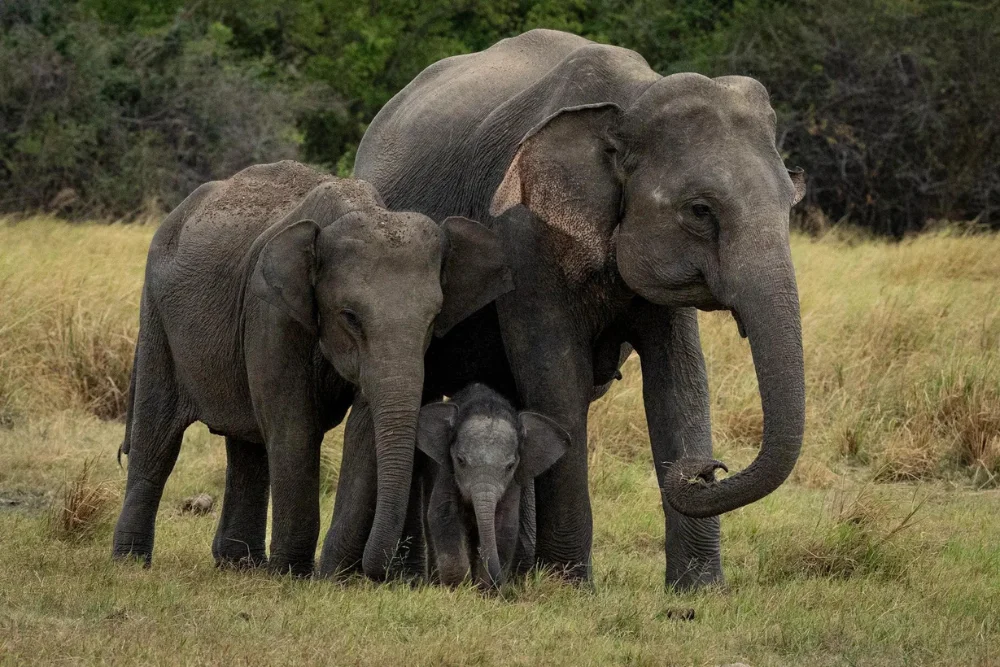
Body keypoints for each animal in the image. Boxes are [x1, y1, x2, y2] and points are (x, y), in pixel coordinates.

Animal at [113, 159, 512, 576]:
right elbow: (295, 428)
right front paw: (293, 573)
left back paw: (240, 566)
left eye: (434, 318)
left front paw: (328, 575)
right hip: (156, 318)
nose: (377, 570)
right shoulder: (270, 312)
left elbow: (363, 427)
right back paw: (130, 562)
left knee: (247, 445)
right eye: (350, 317)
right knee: (157, 439)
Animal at [414, 384, 572, 588]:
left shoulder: (512, 483)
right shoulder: (446, 472)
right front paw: (457, 588)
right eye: (460, 460)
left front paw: (484, 590)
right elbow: (443, 514)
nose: (500, 583)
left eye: (510, 466)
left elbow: (505, 525)